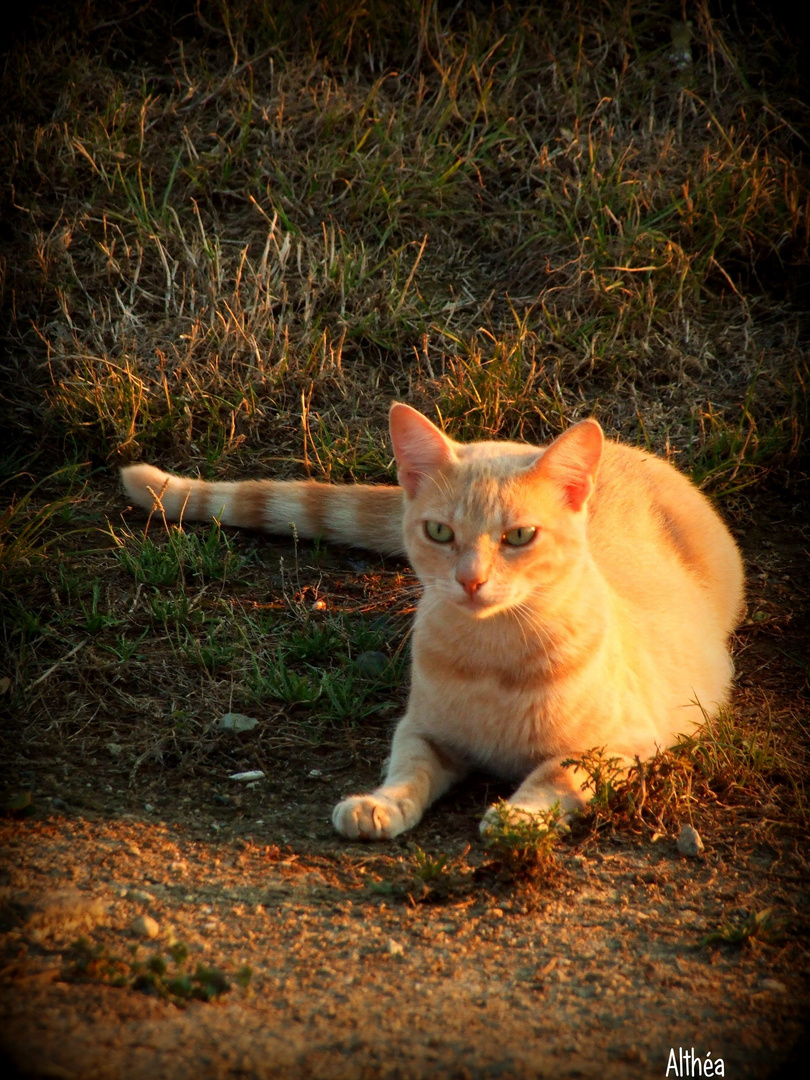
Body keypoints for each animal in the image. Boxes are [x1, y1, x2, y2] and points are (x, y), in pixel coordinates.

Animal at [122, 401, 747, 838]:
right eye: (440, 532)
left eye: (520, 536)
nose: (470, 579)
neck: (494, 656)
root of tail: (623, 447)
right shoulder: (422, 730)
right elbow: (408, 769)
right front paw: (380, 805)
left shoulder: (624, 745)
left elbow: (557, 773)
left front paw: (518, 818)